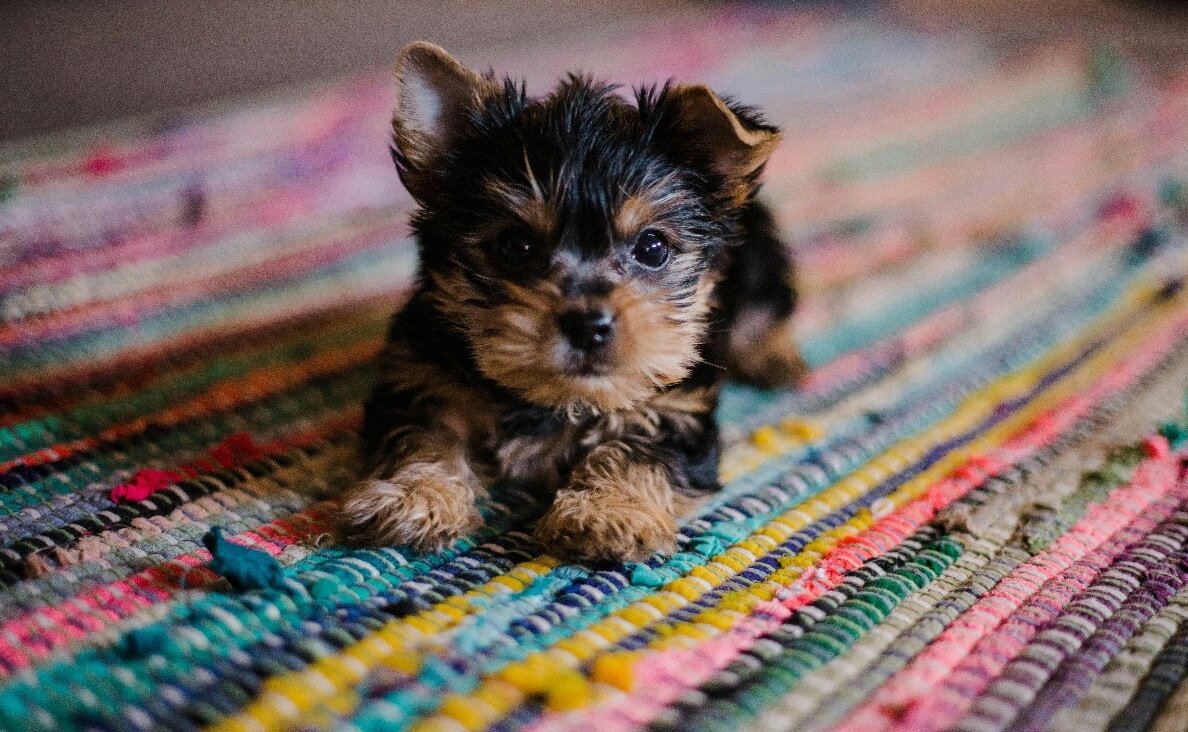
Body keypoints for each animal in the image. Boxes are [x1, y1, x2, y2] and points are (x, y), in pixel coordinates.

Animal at [337, 42, 807, 560]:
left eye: (653, 247)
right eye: (515, 246)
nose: (588, 326)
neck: (556, 399)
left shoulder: (677, 406)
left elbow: (636, 448)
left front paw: (608, 512)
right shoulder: (421, 375)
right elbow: (424, 434)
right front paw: (415, 497)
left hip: (760, 259)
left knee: (768, 306)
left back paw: (775, 357)